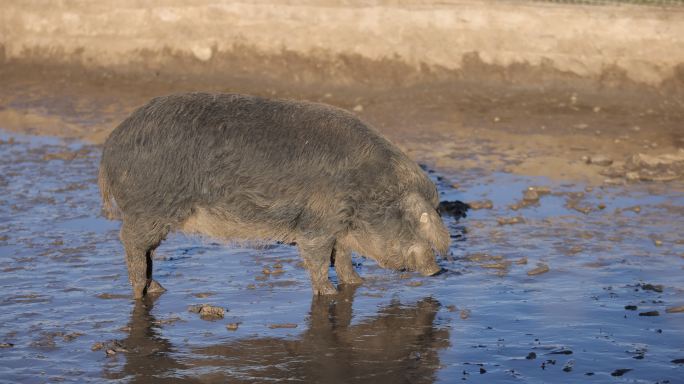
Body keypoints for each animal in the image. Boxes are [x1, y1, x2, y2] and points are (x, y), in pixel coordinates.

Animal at [96, 91, 448, 298]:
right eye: (414, 218)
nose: (436, 270)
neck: (364, 189)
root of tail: (111, 144)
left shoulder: (338, 227)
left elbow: (343, 258)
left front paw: (358, 285)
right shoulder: (316, 224)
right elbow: (318, 259)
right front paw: (330, 295)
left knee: (146, 251)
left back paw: (158, 288)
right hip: (149, 210)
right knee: (131, 243)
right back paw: (144, 291)